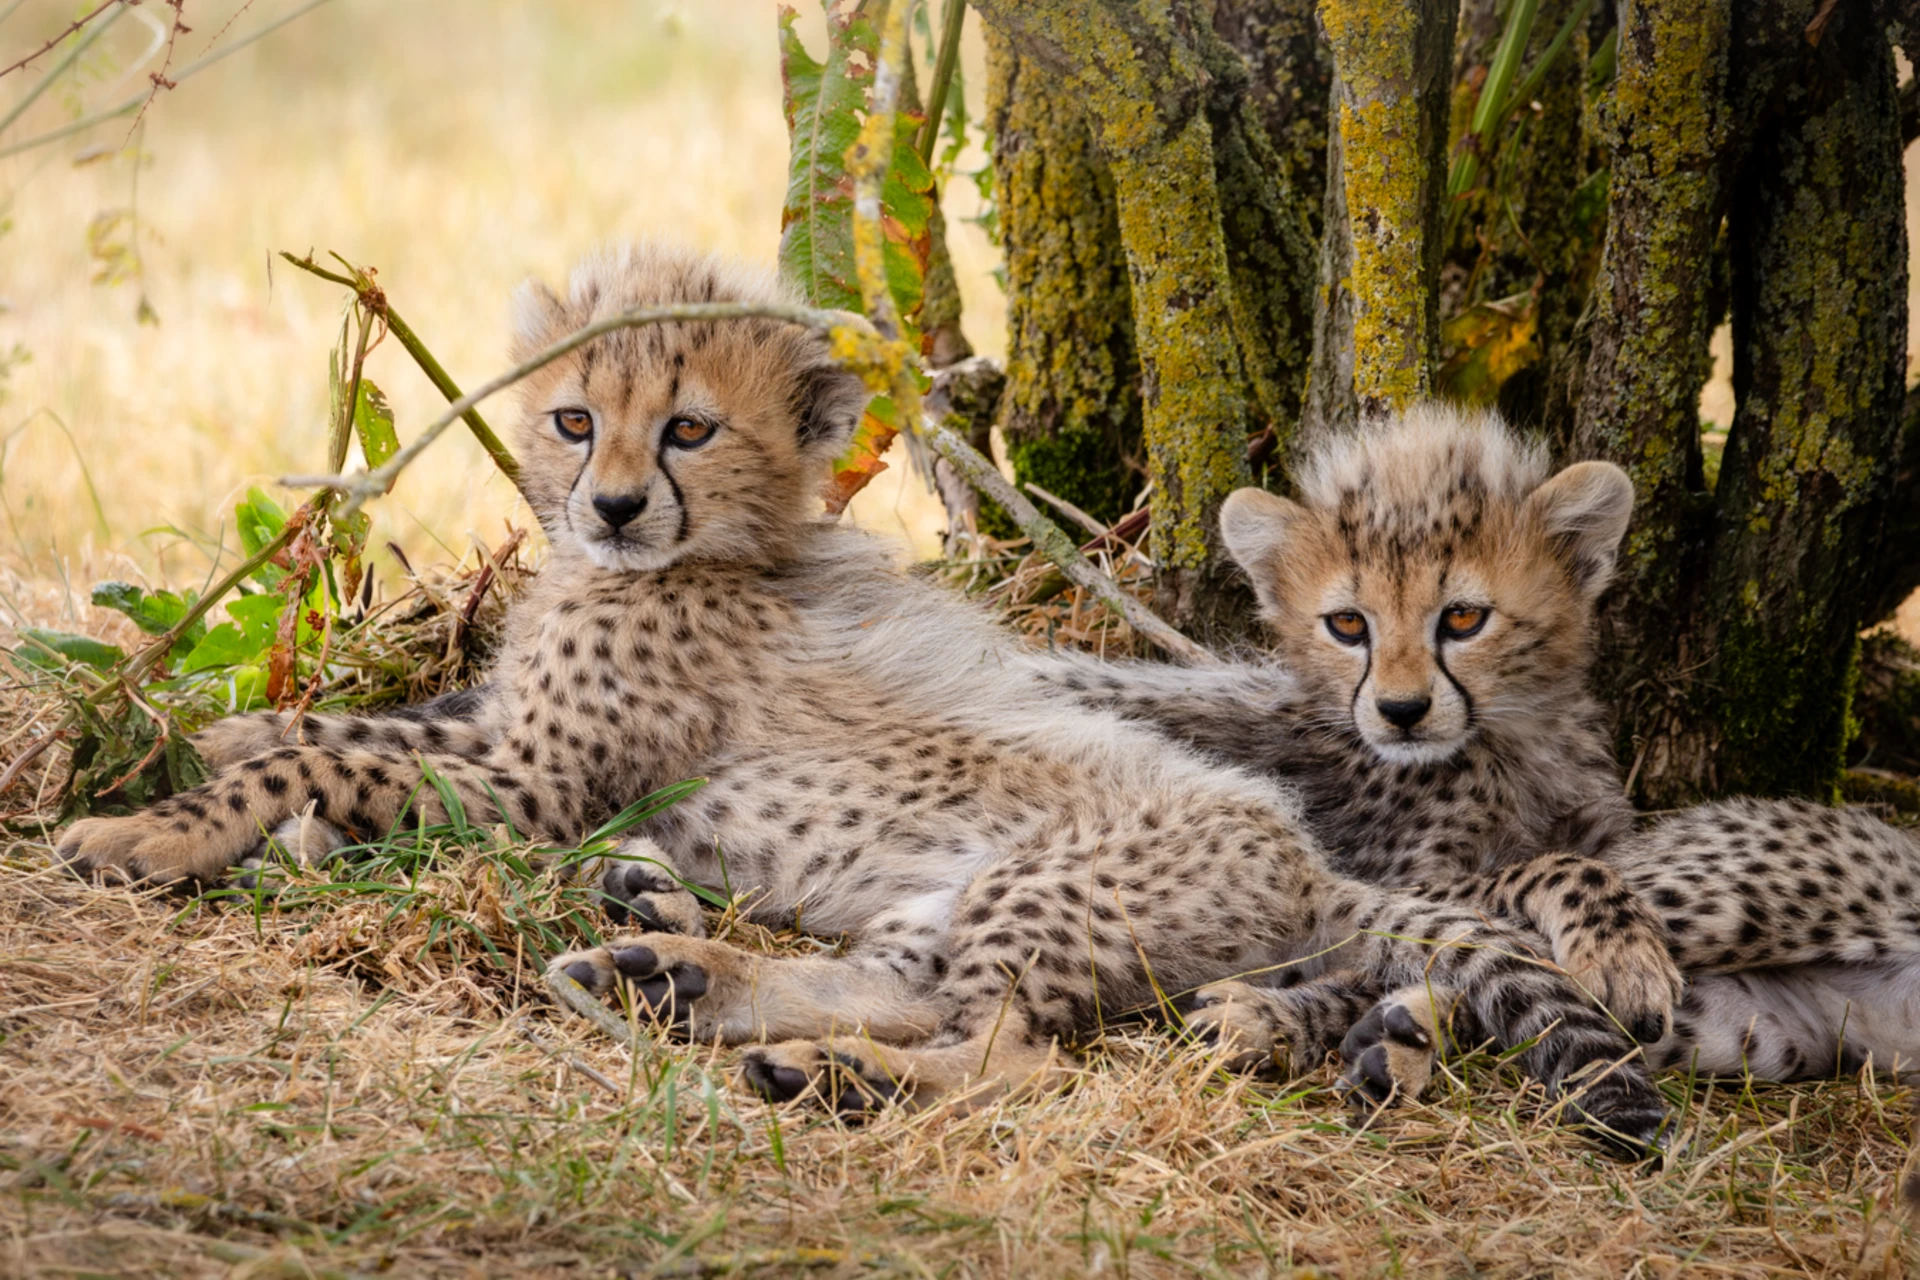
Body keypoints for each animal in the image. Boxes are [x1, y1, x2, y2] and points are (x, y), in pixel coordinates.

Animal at [53, 245, 1672, 1150]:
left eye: (687, 429)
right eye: (573, 416)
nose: (613, 506)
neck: (712, 554)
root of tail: (1297, 849)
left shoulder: (536, 779)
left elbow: (332, 755)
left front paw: (146, 829)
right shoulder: (512, 737)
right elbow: (363, 724)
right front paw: (213, 734)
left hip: (1047, 881)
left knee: (1012, 1056)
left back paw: (813, 1072)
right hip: (935, 894)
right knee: (902, 987)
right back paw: (672, 973)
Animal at [1042, 403, 1920, 1086]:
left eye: (1463, 618)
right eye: (1347, 624)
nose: (1400, 710)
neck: (1511, 744)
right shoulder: (1397, 876)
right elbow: (1542, 875)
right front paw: (1621, 952)